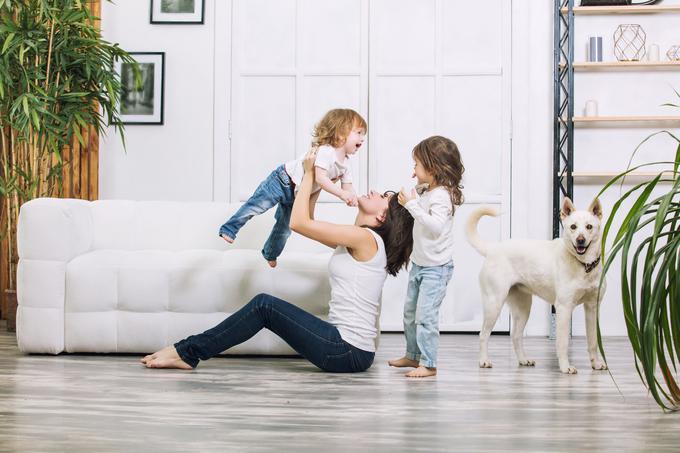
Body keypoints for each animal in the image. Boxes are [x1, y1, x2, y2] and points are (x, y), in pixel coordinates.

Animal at [464, 196, 608, 372]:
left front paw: (596, 363)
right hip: (494, 304)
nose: (580, 240)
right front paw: (565, 367)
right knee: (483, 335)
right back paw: (484, 361)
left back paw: (523, 360)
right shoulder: (564, 308)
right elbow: (562, 343)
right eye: (573, 227)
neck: (584, 265)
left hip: (523, 308)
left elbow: (593, 341)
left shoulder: (592, 308)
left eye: (589, 227)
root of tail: (493, 249)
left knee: (516, 336)